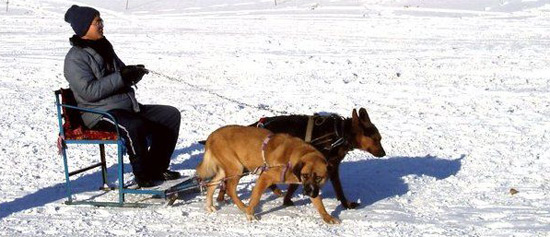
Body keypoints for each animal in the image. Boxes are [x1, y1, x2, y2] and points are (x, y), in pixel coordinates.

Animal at [196, 126, 338, 224]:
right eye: (305, 175)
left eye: (318, 178)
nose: (308, 191)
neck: (292, 159)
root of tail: (211, 136)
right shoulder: (265, 177)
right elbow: (255, 198)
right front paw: (250, 212)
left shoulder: (313, 188)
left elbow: (319, 203)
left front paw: (327, 217)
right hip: (237, 168)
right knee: (230, 189)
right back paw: (243, 207)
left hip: (225, 171)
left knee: (211, 184)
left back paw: (209, 206)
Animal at [213, 106, 386, 208]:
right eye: (376, 139)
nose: (383, 153)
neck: (340, 133)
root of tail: (255, 125)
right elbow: (294, 185)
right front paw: (287, 200)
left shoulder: (331, 167)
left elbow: (339, 189)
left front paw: (345, 204)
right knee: (227, 179)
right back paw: (222, 196)